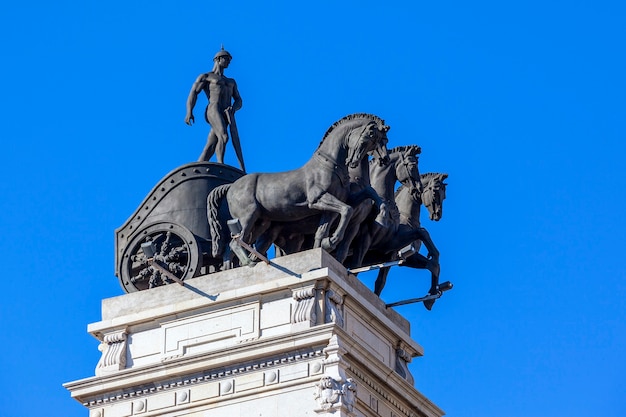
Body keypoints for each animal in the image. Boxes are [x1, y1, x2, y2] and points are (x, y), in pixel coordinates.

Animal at [207, 112, 388, 264]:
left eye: (383, 141)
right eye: (369, 137)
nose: (353, 161)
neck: (330, 165)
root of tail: (231, 186)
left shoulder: (331, 207)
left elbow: (330, 223)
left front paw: (382, 216)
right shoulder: (318, 199)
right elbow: (347, 210)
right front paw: (331, 241)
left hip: (262, 224)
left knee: (233, 248)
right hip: (247, 217)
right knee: (235, 243)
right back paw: (249, 263)